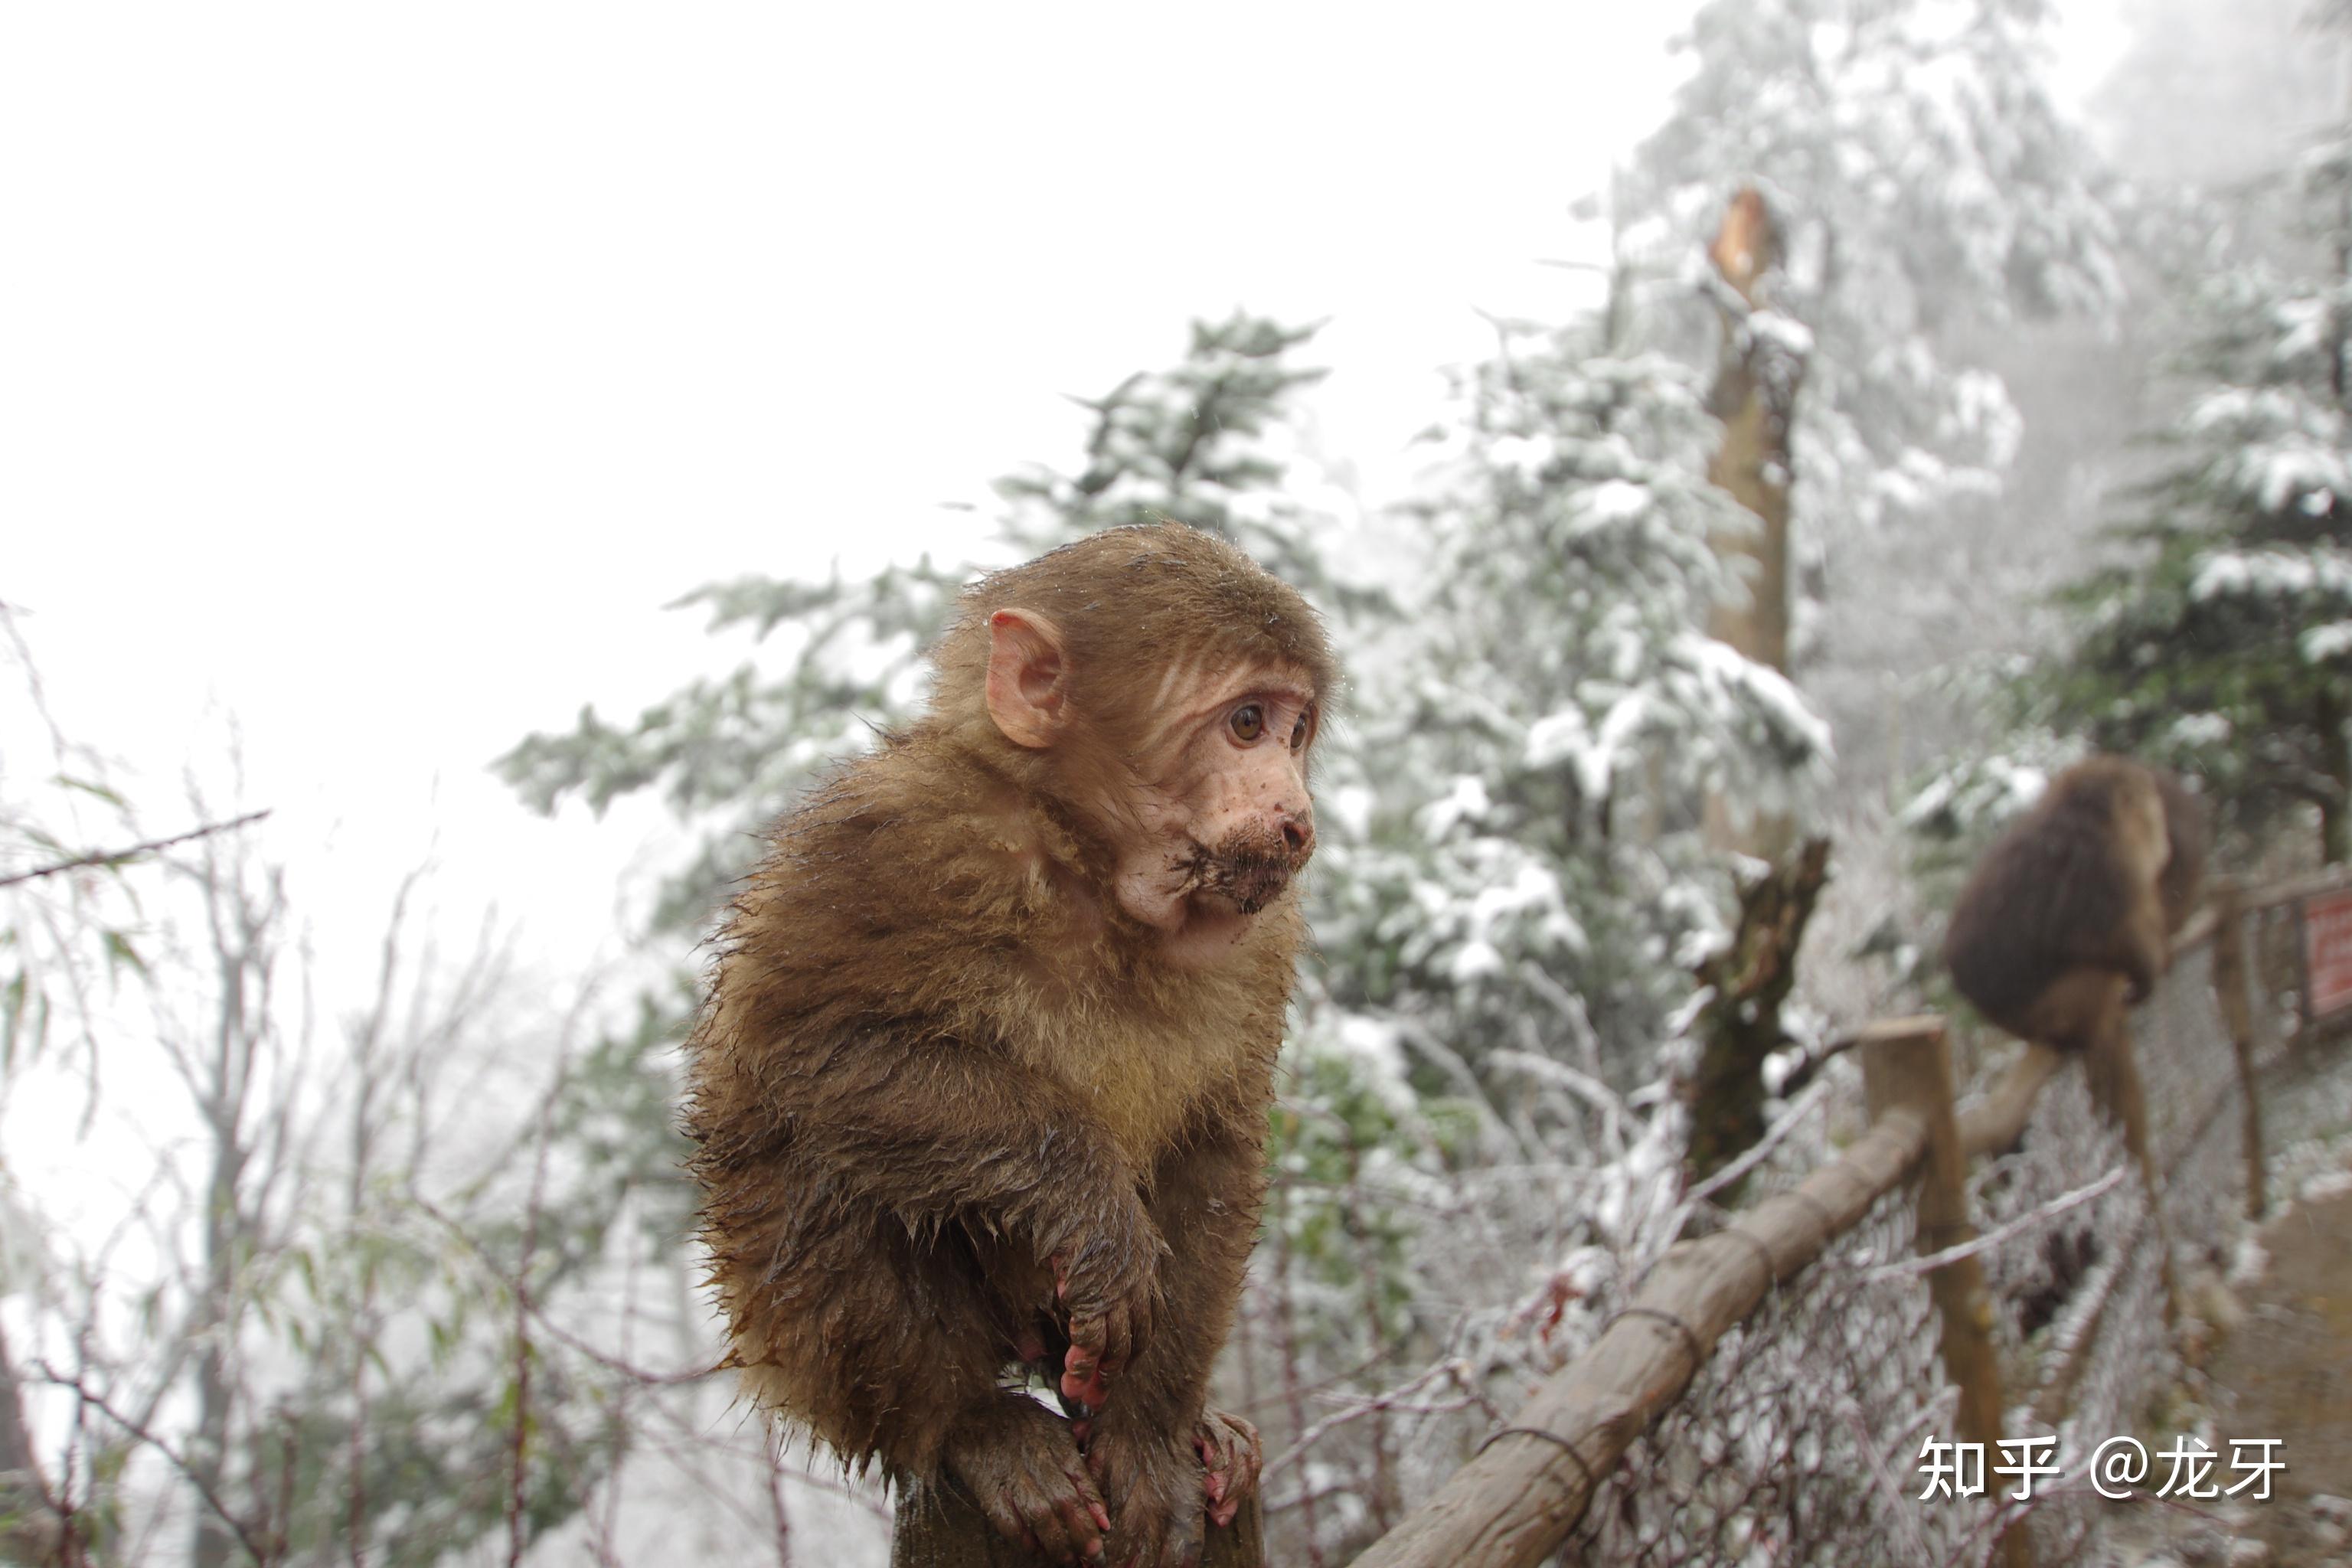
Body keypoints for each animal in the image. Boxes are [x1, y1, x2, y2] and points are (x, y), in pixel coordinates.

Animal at [687, 524, 1335, 1568]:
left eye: (1295, 729)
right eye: (1245, 723)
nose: (1292, 809)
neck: (1095, 874)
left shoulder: (1259, 934)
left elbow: (1214, 1151)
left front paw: (1151, 1438)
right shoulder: (888, 835)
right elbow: (808, 1046)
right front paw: (1093, 1209)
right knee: (816, 1159)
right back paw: (971, 1425)